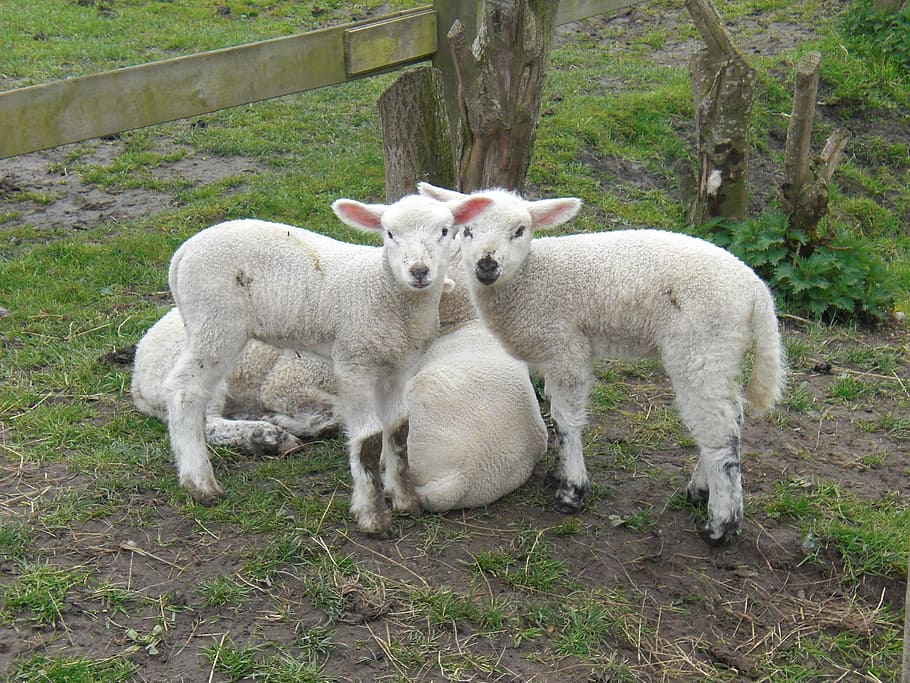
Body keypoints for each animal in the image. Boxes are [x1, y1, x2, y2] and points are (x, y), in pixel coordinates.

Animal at [163, 192, 492, 536]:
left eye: (445, 231)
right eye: (389, 234)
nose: (418, 270)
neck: (385, 292)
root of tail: (184, 251)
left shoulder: (398, 367)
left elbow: (399, 431)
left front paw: (405, 501)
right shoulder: (353, 362)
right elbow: (368, 441)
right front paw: (372, 517)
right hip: (215, 322)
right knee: (184, 389)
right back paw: (200, 484)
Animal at [418, 182, 786, 545]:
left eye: (520, 230)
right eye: (467, 230)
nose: (486, 265)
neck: (529, 280)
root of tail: (757, 292)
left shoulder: (566, 346)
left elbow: (566, 420)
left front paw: (571, 491)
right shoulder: (553, 353)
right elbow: (555, 411)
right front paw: (558, 472)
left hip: (700, 346)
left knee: (719, 434)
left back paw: (719, 524)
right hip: (722, 351)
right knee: (731, 420)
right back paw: (701, 490)